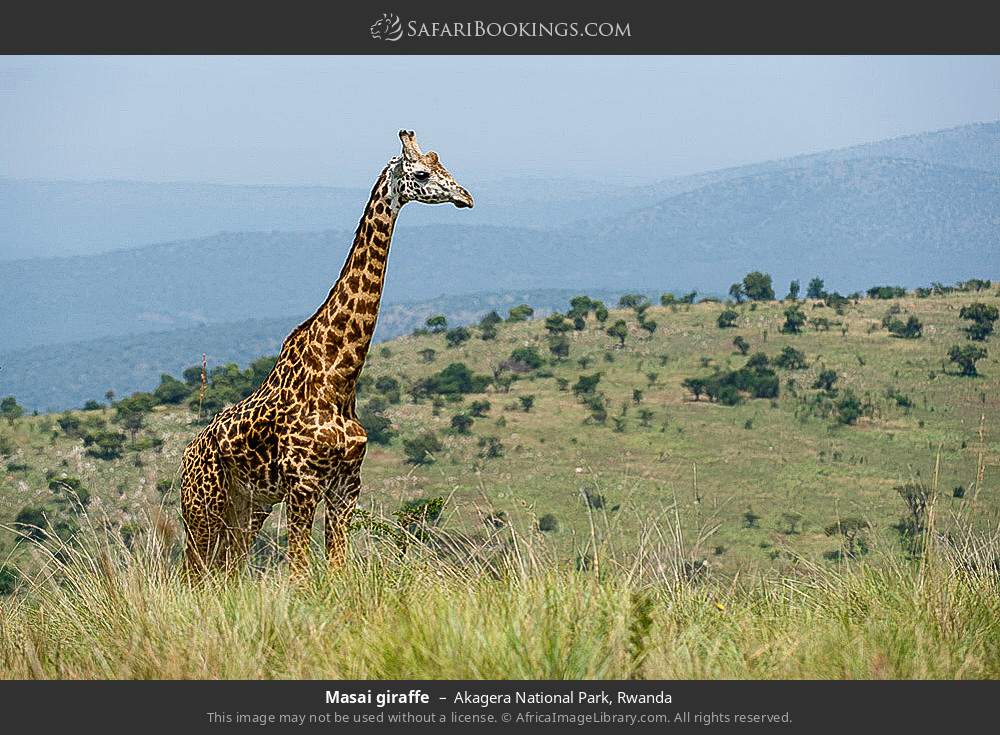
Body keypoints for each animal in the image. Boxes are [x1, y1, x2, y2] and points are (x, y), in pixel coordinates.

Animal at [180, 130, 473, 577]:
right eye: (422, 173)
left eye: (444, 165)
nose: (466, 197)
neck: (339, 376)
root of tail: (184, 459)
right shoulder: (303, 484)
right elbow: (299, 572)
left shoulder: (346, 484)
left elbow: (337, 566)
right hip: (202, 508)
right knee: (192, 573)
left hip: (247, 508)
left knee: (228, 570)